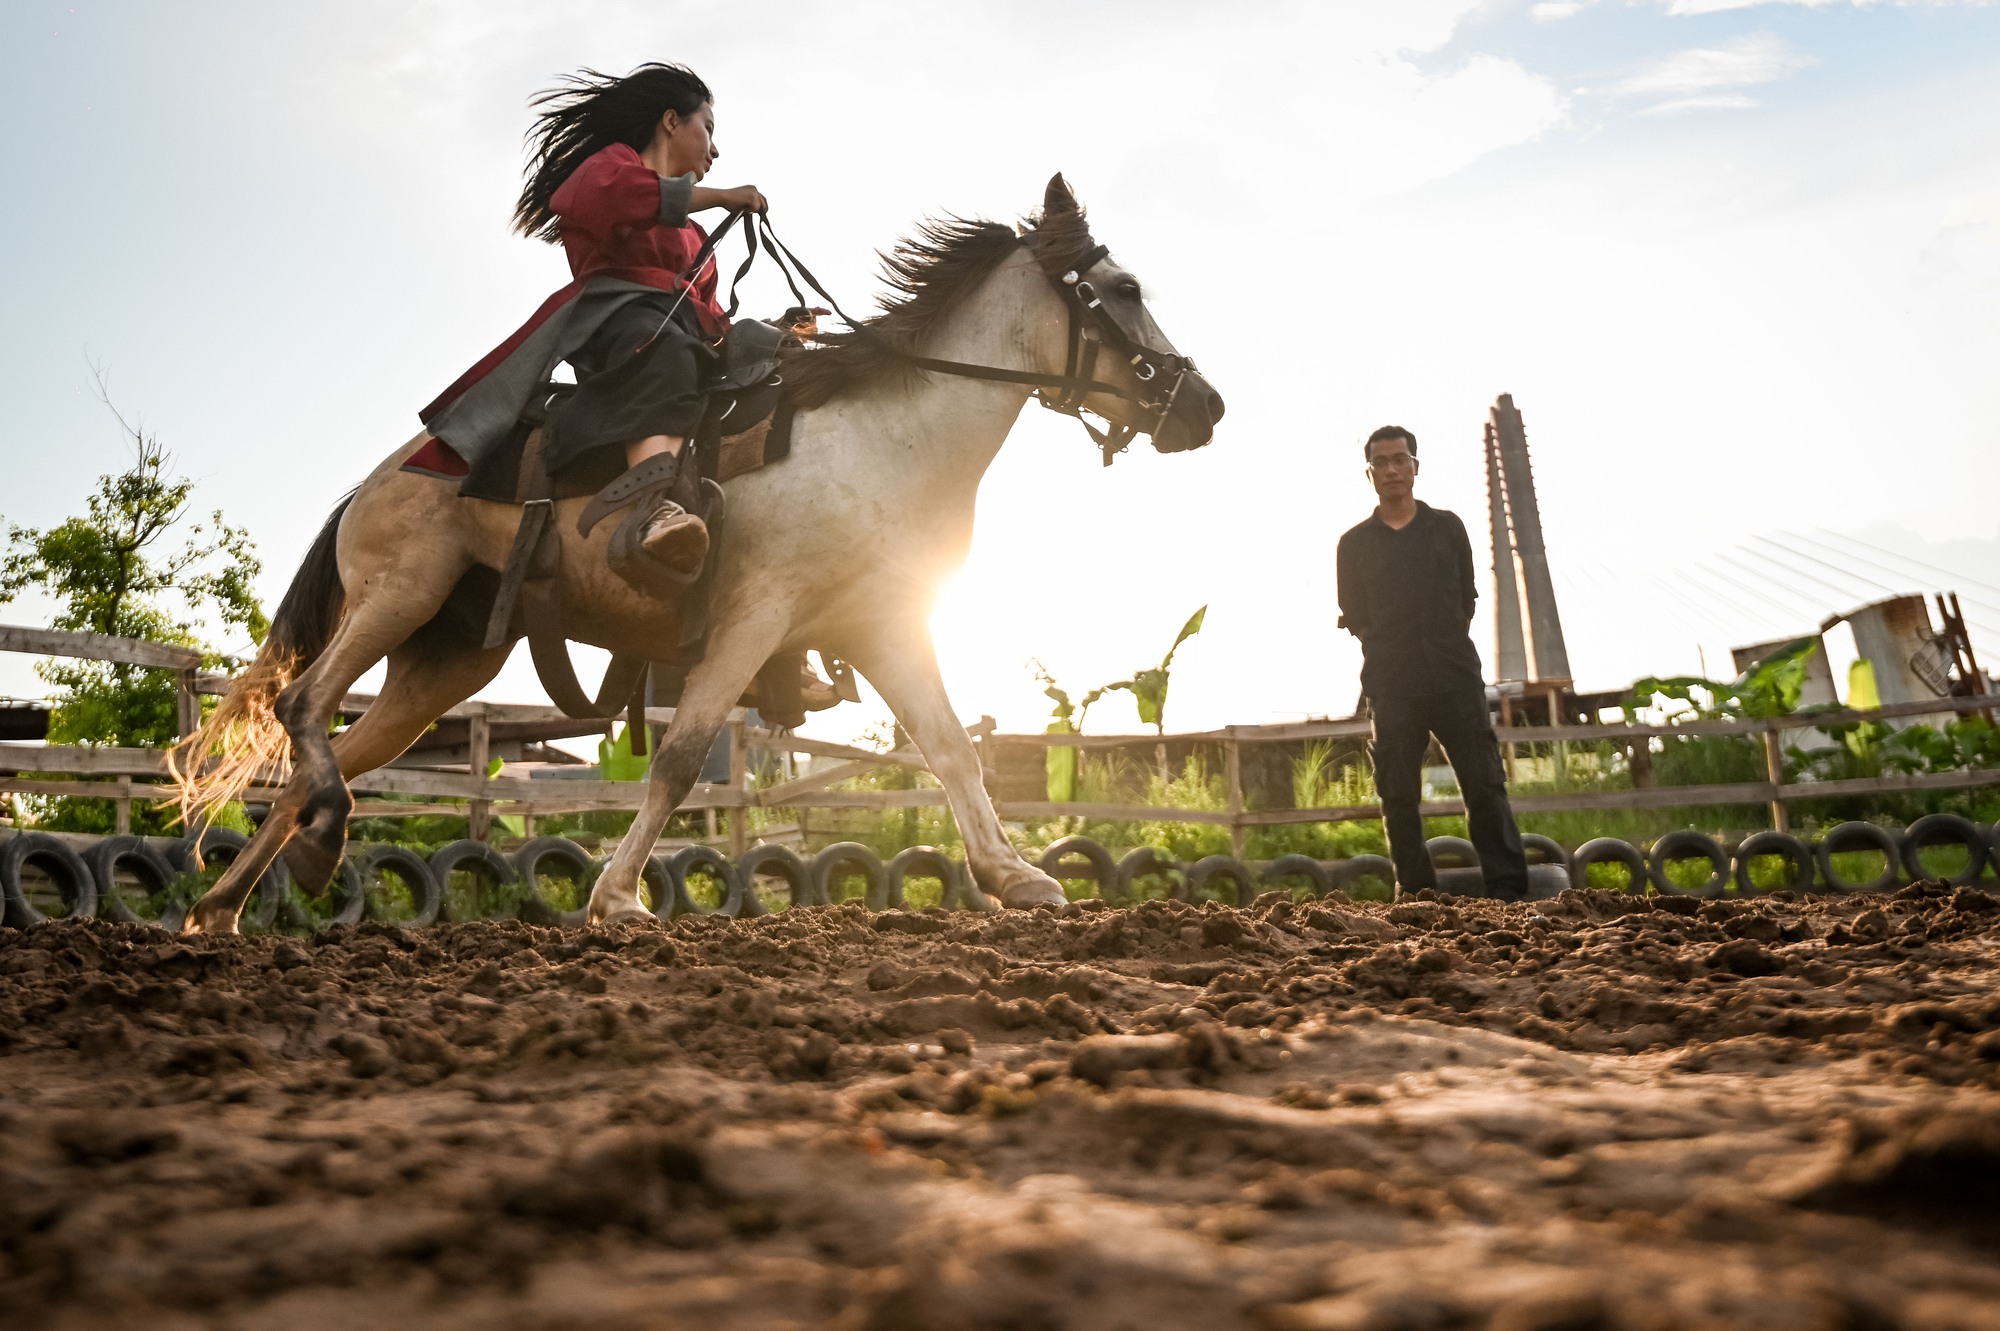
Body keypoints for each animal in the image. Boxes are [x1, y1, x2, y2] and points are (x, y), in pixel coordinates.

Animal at [172, 175, 1224, 931]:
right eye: (1123, 290)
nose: (1205, 406)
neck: (884, 435)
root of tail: (380, 478)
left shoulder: (884, 626)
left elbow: (953, 750)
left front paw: (1016, 875)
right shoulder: (754, 619)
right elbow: (680, 759)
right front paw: (617, 897)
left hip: (443, 662)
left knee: (320, 759)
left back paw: (235, 900)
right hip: (400, 595)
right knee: (305, 708)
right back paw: (306, 851)